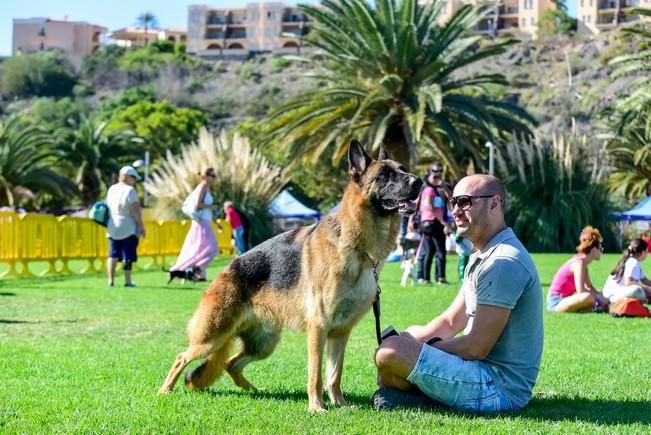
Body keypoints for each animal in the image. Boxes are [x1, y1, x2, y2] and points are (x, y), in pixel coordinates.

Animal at [159, 140, 422, 412]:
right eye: (385, 175)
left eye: (403, 169)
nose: (419, 182)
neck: (355, 245)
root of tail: (223, 274)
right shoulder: (319, 328)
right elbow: (316, 374)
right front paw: (317, 407)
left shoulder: (340, 333)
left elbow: (334, 374)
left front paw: (339, 404)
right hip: (212, 338)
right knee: (181, 357)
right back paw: (165, 391)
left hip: (264, 344)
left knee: (231, 363)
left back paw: (254, 390)